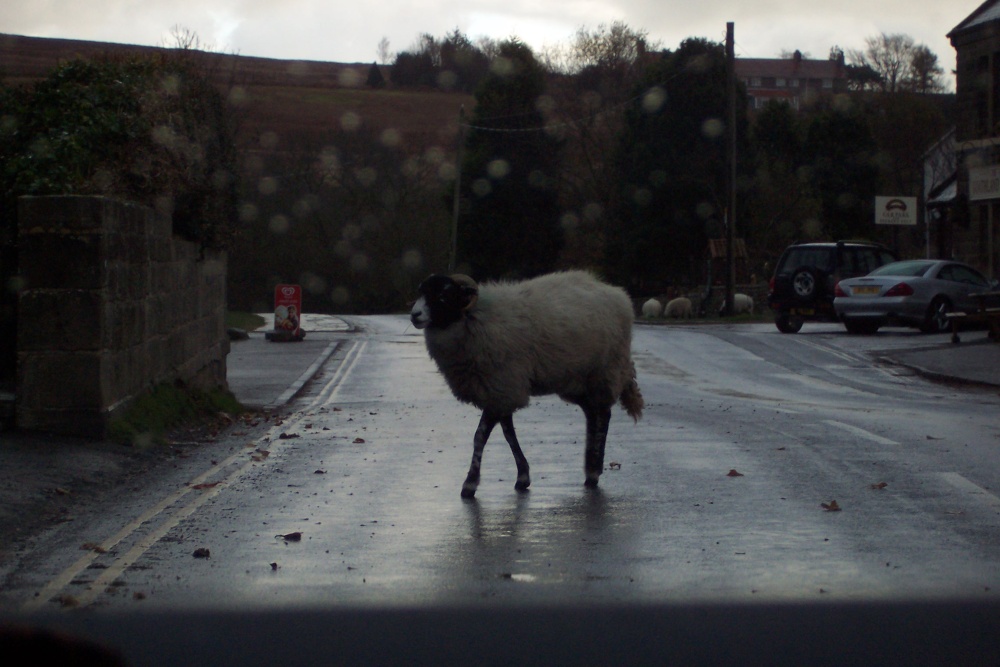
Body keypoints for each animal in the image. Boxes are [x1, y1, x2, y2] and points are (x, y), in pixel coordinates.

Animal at [410, 270, 644, 498]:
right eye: (421, 291)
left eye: (444, 294)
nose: (414, 315)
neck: (474, 319)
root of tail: (617, 294)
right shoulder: (501, 392)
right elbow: (509, 435)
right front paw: (522, 476)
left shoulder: (502, 387)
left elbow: (480, 436)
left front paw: (470, 484)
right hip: (577, 380)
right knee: (592, 414)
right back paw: (590, 468)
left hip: (604, 372)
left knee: (603, 415)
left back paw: (594, 472)